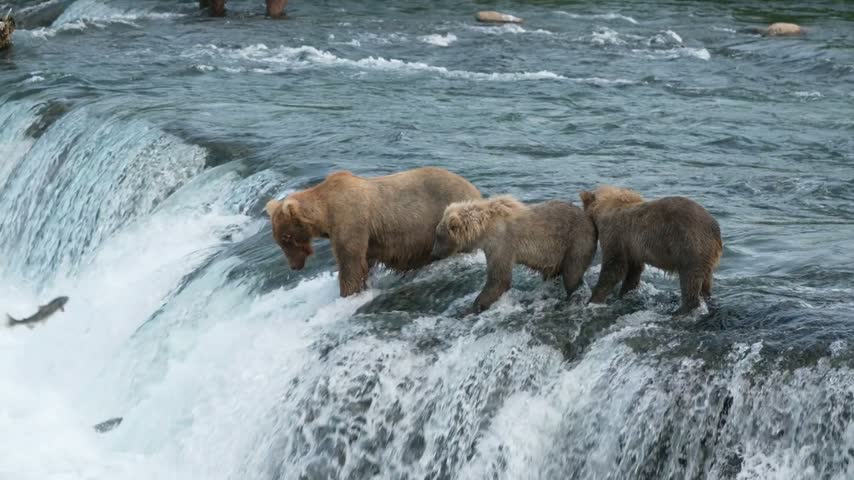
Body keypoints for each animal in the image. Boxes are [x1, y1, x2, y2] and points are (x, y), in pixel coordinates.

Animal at [266, 167, 481, 297]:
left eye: (287, 238)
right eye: (279, 241)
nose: (294, 266)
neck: (326, 213)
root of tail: (476, 191)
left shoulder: (351, 221)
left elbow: (350, 263)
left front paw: (347, 292)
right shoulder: (368, 238)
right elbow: (364, 262)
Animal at [431, 195, 598, 312]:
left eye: (438, 236)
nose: (433, 254)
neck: (484, 230)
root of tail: (589, 219)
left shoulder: (501, 244)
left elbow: (499, 279)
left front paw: (474, 307)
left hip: (576, 241)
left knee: (572, 273)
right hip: (558, 253)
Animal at [579, 185, 723, 315]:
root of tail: (715, 229)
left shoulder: (615, 234)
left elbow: (613, 268)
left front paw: (592, 300)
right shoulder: (632, 246)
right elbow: (633, 270)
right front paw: (625, 292)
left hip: (690, 245)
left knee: (690, 280)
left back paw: (681, 310)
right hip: (705, 256)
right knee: (705, 282)